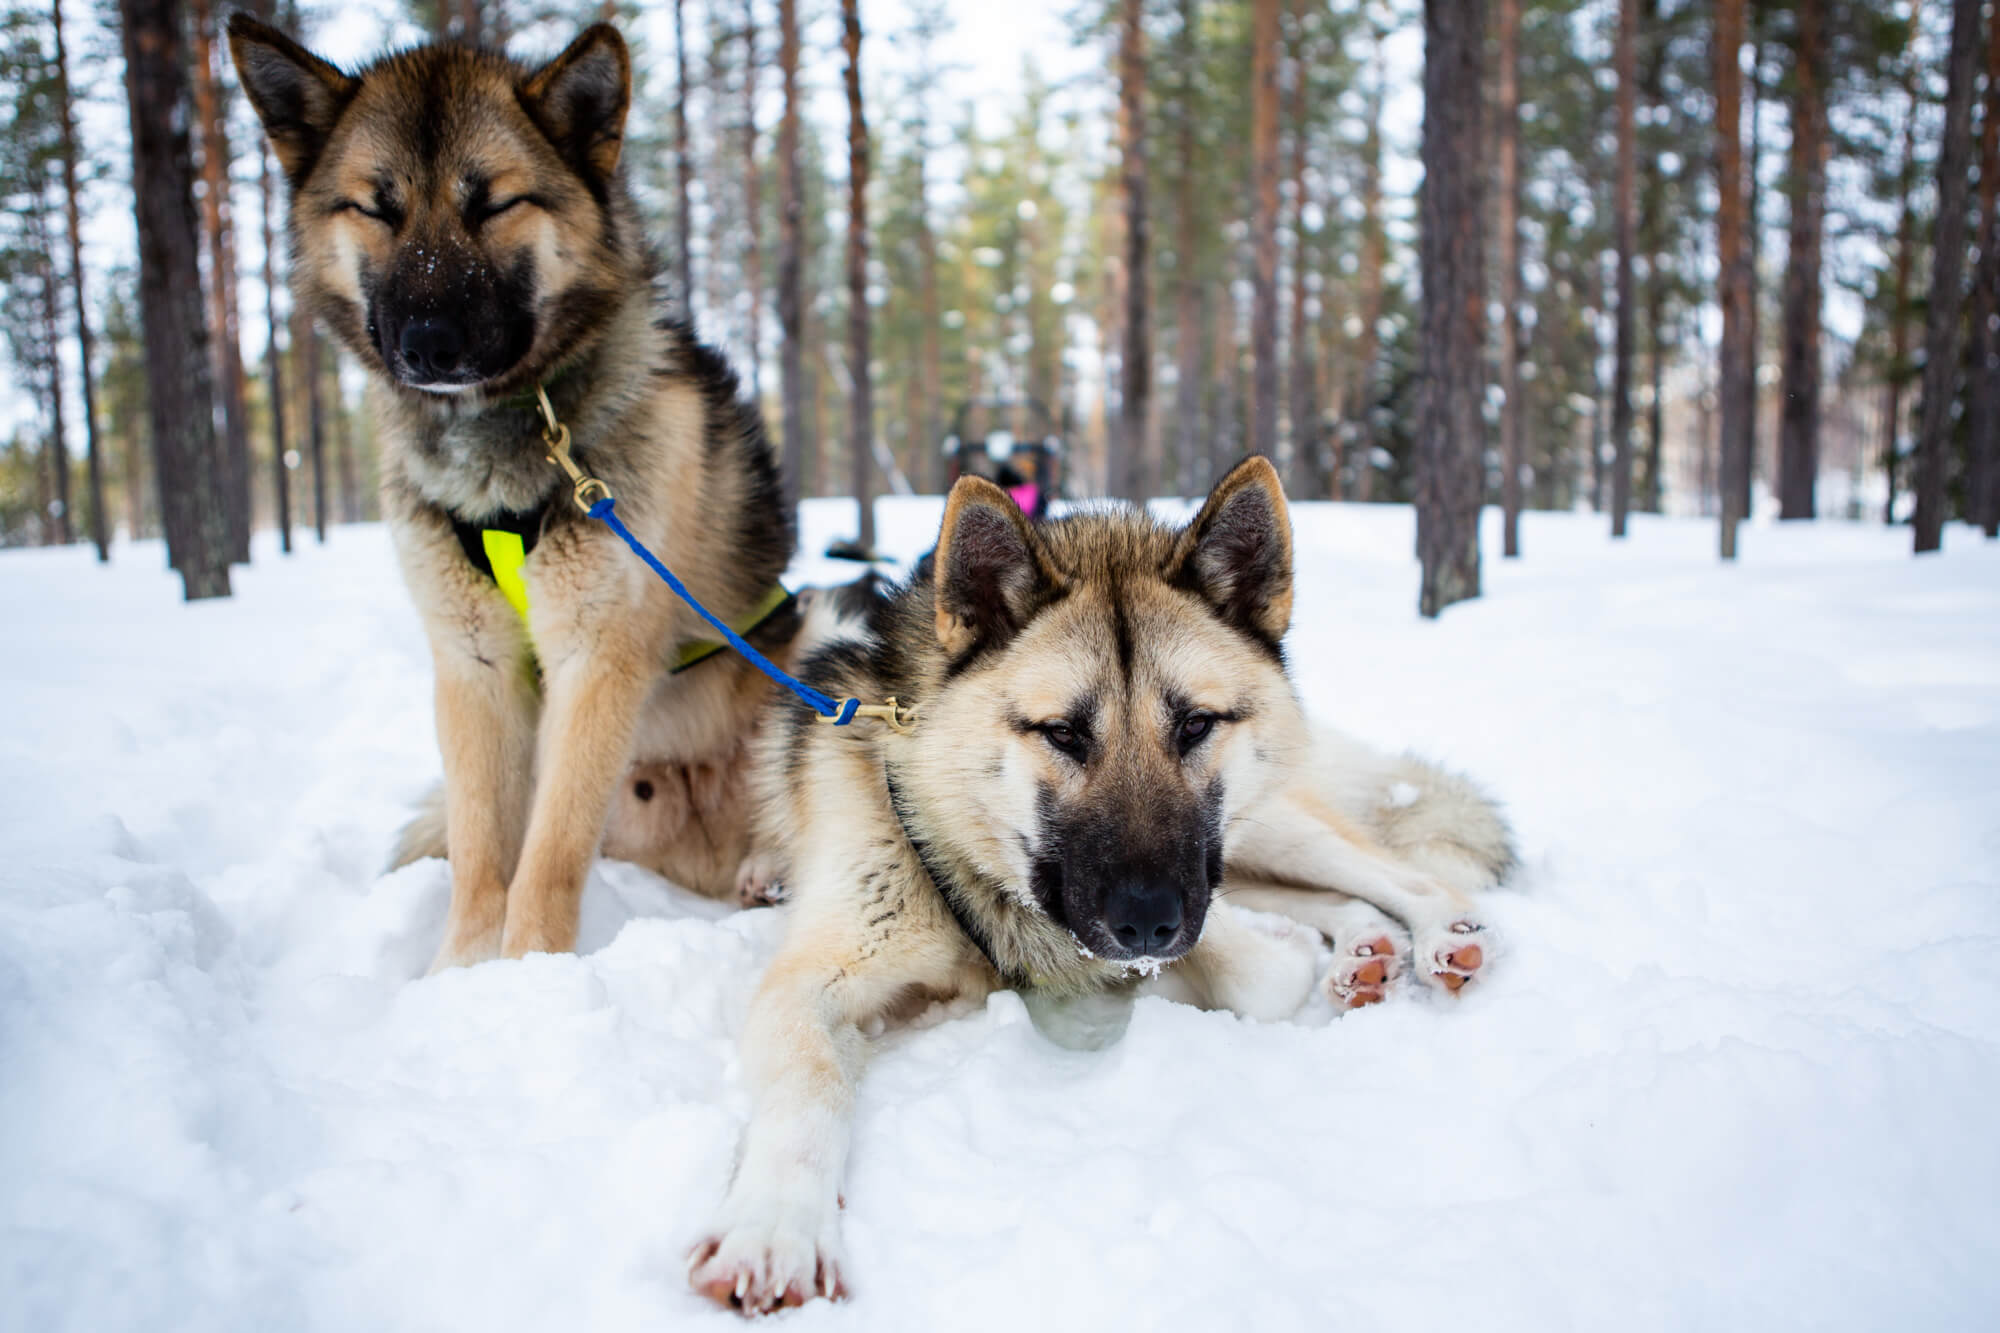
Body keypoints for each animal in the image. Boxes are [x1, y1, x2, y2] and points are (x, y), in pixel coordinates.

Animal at [692, 456, 1512, 1304]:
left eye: (1195, 723)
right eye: (1062, 732)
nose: (1147, 920)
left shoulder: (1195, 904)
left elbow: (1258, 973)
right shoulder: (809, 981)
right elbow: (810, 1085)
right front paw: (774, 1226)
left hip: (1266, 833)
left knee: (1399, 874)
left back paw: (1444, 934)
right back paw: (1363, 945)